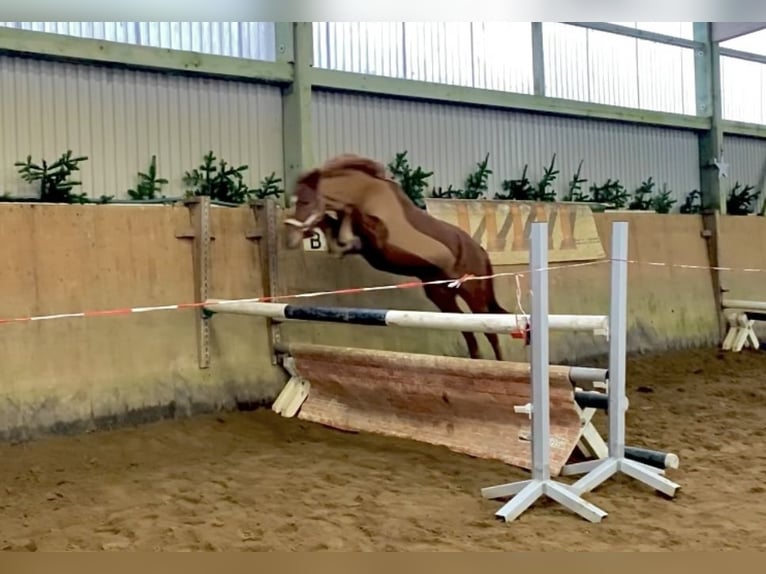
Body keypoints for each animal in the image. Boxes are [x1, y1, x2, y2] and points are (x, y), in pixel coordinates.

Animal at [280, 153, 510, 360]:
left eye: (305, 202)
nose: (289, 239)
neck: (367, 193)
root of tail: (481, 252)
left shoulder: (378, 237)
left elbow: (351, 220)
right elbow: (336, 234)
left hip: (473, 294)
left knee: (491, 331)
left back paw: (500, 363)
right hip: (441, 295)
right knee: (467, 331)